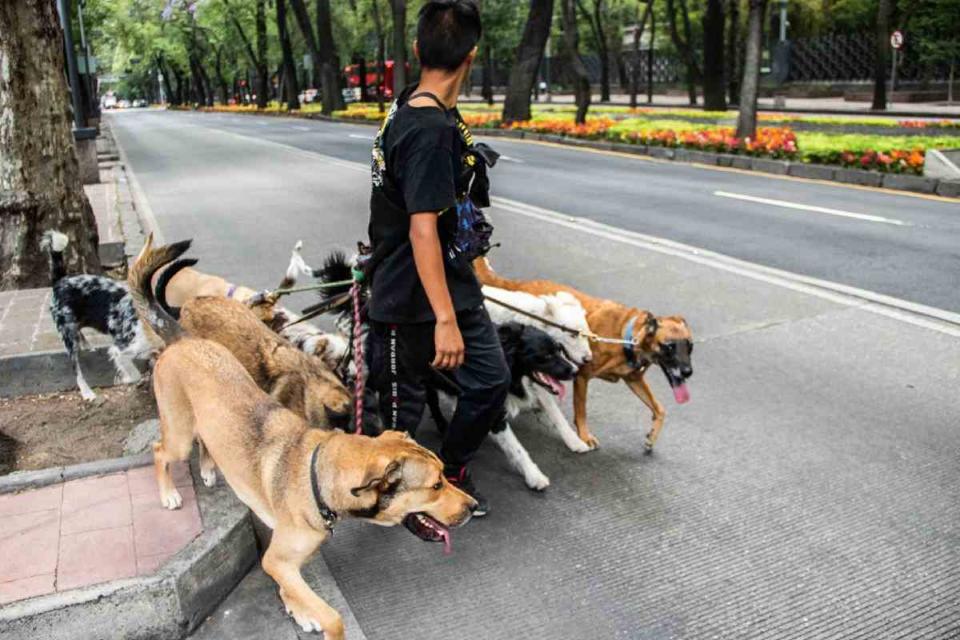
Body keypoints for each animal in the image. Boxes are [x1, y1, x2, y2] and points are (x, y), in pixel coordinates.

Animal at [476, 258, 692, 452]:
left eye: (690, 346)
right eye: (669, 346)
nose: (688, 372)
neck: (626, 336)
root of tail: (515, 284)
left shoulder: (634, 379)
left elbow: (660, 409)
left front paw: (651, 437)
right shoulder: (580, 376)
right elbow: (580, 410)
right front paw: (583, 437)